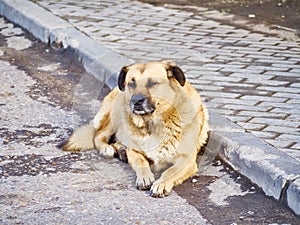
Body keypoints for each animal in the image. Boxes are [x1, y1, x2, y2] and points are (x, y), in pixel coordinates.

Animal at [61, 60, 209, 196]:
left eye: (152, 83)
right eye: (131, 83)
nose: (136, 101)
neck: (152, 124)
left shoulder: (186, 160)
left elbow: (170, 171)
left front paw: (161, 183)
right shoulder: (135, 151)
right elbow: (141, 161)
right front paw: (144, 177)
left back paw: (121, 150)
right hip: (116, 113)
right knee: (99, 135)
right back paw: (108, 148)